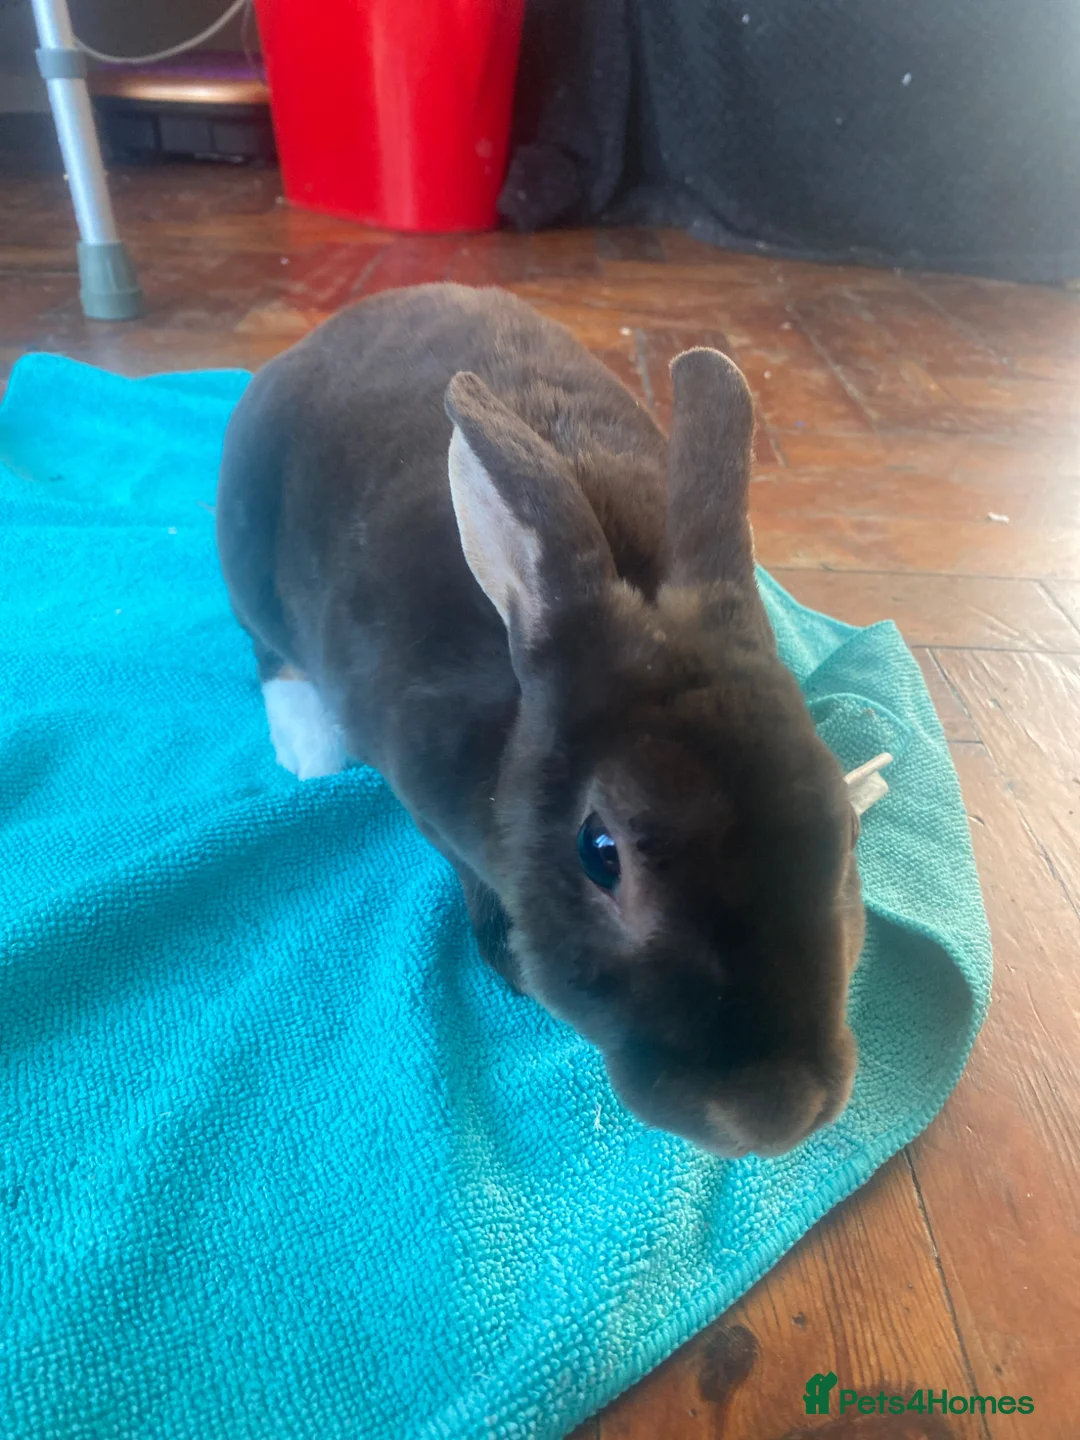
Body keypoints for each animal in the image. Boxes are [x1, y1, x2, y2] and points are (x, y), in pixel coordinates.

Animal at [216, 282, 865, 1159]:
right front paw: (510, 964)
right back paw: (310, 748)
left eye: (847, 829)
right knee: (265, 647)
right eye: (600, 853)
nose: (773, 1113)